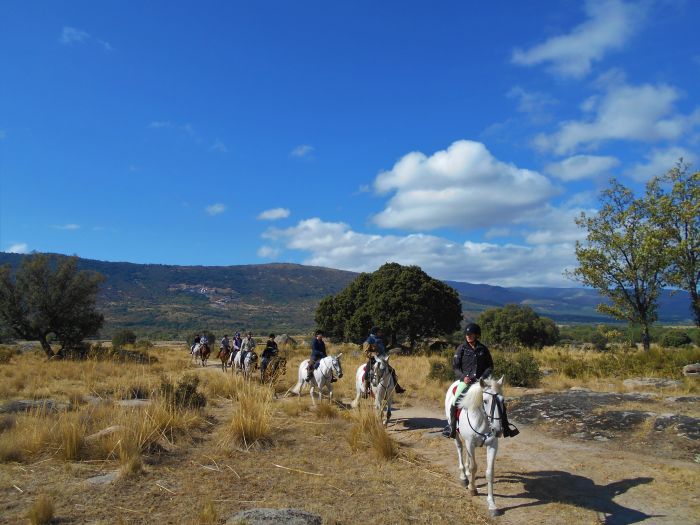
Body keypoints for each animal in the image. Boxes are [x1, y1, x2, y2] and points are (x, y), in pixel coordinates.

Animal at [446, 376, 506, 516]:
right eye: (485, 401)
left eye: (502, 400)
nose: (497, 430)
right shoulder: (470, 443)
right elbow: (474, 467)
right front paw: (472, 488)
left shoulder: (493, 446)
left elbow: (489, 473)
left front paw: (492, 505)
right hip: (457, 436)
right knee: (460, 448)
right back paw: (464, 476)